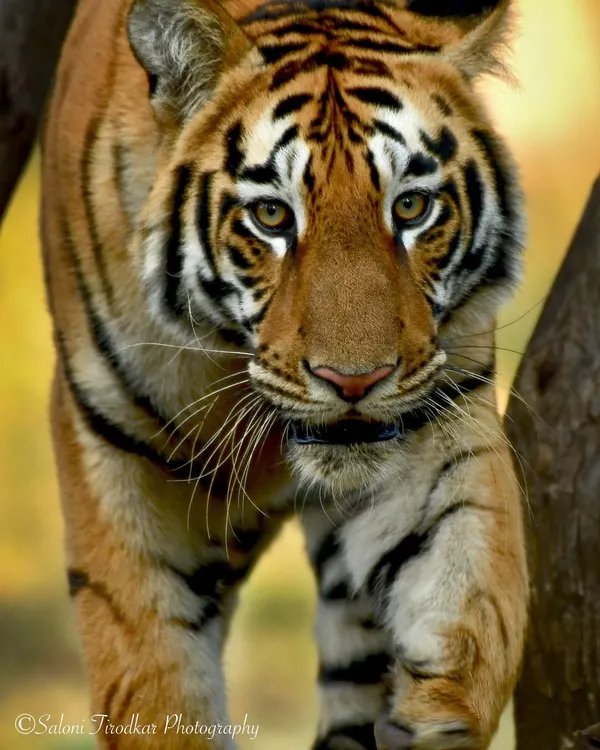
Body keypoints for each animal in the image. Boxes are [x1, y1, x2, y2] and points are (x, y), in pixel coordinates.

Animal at [39, 0, 529, 747]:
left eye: (411, 207)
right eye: (271, 215)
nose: (354, 382)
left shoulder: (438, 409)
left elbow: (472, 590)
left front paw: (431, 717)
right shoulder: (111, 446)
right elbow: (155, 681)